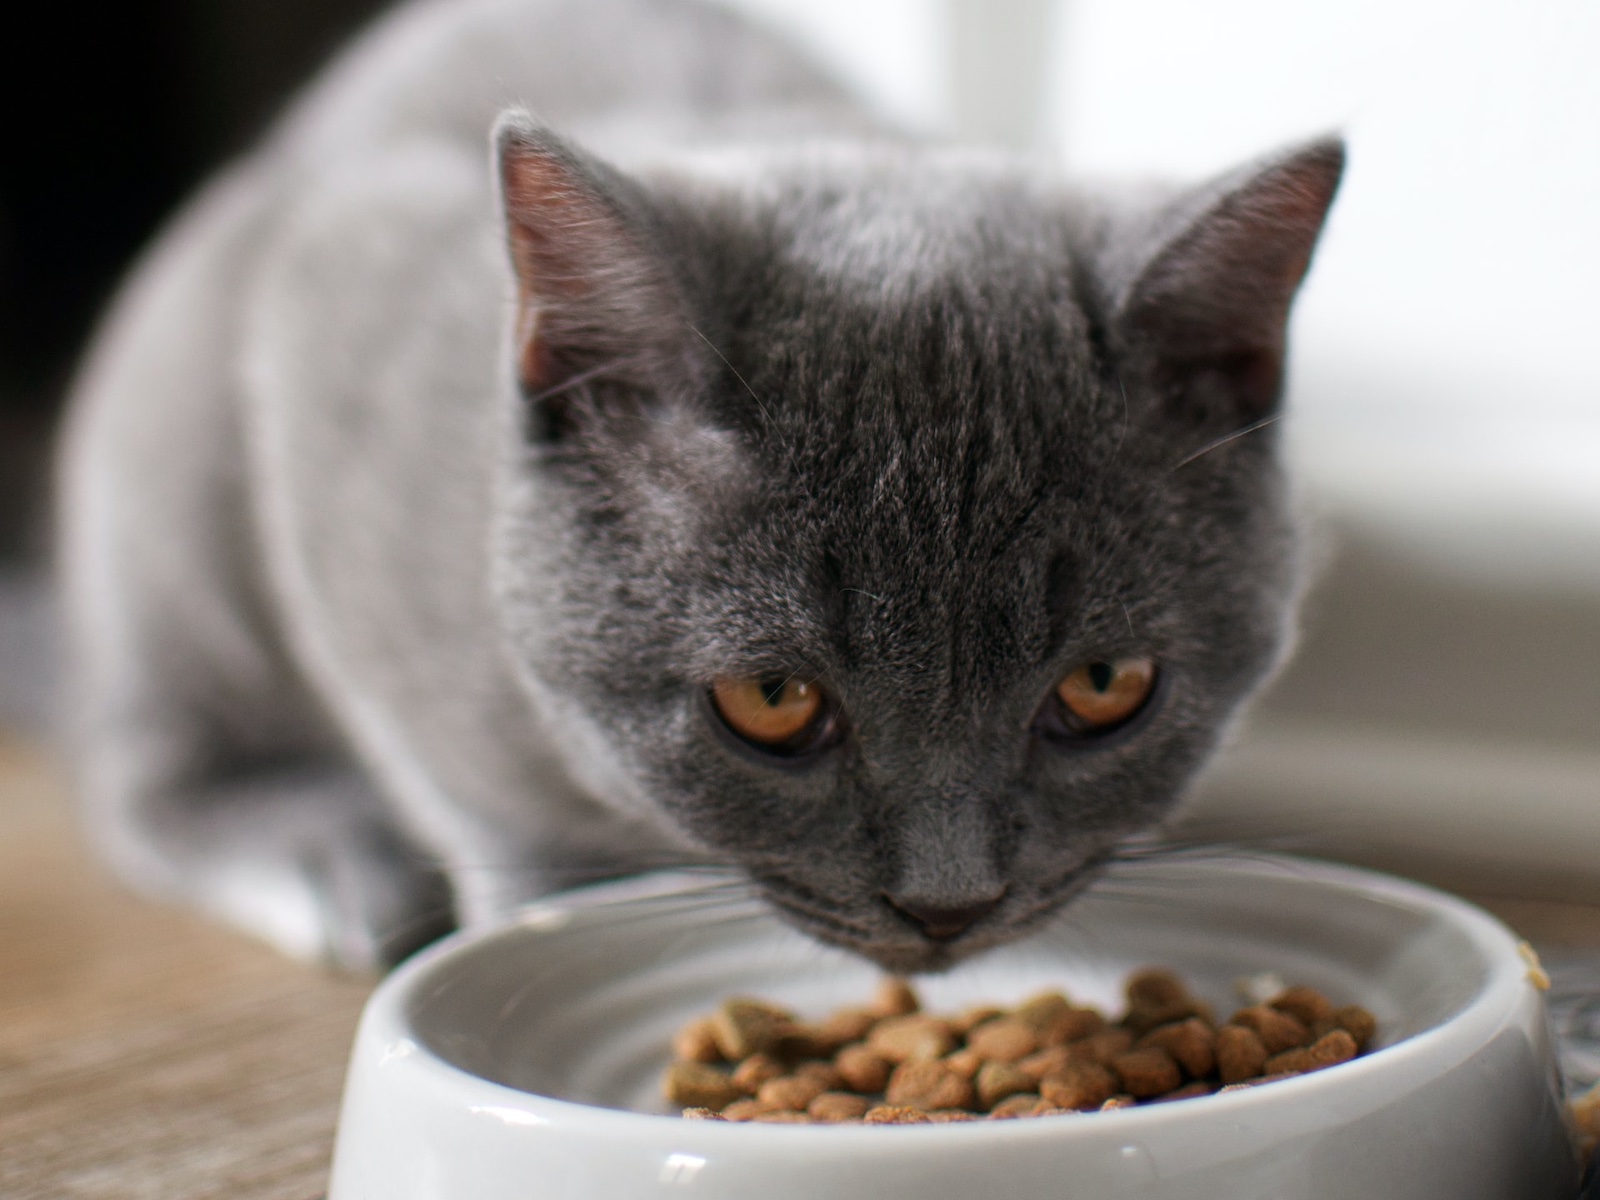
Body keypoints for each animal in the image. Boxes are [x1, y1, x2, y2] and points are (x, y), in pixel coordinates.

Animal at [56, 0, 1344, 979]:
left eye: (1103, 686)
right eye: (770, 700)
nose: (947, 905)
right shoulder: (333, 370)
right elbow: (482, 802)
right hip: (172, 446)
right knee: (144, 768)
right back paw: (319, 859)